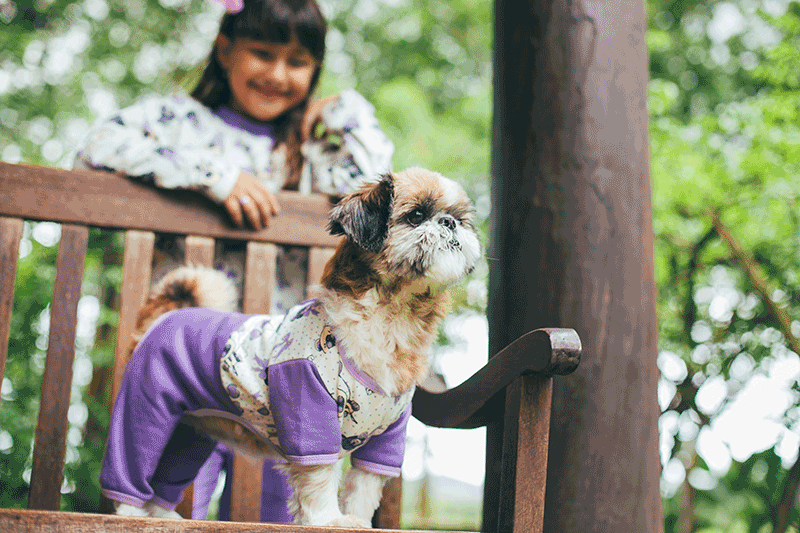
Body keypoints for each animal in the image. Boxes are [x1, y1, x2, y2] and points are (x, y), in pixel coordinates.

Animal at [105, 168, 482, 524]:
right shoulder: (309, 410)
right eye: (416, 215)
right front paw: (329, 520)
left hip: (192, 432)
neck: (389, 317)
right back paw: (129, 513)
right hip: (146, 412)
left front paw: (357, 520)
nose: (448, 223)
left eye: (460, 219)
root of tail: (165, 316)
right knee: (131, 466)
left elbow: (364, 486)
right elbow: (320, 479)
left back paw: (161, 515)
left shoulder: (388, 434)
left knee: (167, 479)